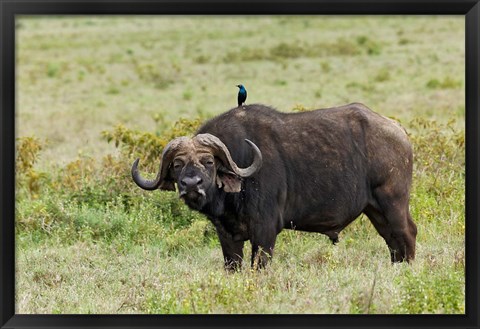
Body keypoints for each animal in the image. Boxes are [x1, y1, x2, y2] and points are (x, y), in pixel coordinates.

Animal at [131, 103, 416, 270]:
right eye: (177, 164)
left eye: (208, 161)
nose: (191, 184)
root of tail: (399, 132)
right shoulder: (227, 236)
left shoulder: (265, 231)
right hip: (374, 209)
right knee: (392, 241)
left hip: (393, 201)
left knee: (407, 233)